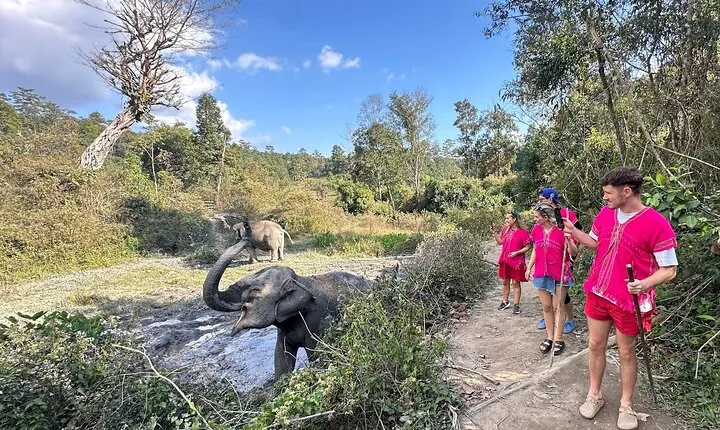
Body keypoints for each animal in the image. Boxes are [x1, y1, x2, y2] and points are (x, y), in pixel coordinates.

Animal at [202, 240, 372, 379]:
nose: (245, 238)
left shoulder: (317, 321)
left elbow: (314, 354)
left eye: (255, 291)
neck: (300, 280)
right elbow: (281, 358)